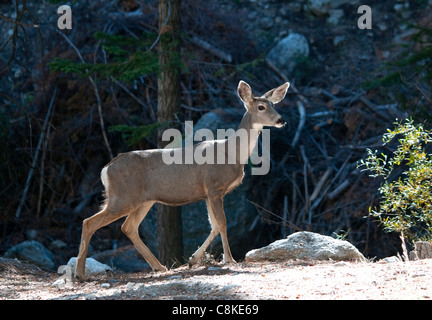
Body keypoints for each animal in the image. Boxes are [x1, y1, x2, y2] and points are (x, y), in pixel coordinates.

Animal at [74, 80, 288, 280]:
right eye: (261, 107)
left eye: (274, 105)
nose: (281, 120)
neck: (233, 153)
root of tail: (106, 169)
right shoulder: (214, 187)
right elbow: (222, 223)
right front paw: (230, 259)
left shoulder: (208, 193)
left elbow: (214, 225)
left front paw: (193, 260)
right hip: (123, 197)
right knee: (89, 222)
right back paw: (79, 274)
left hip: (143, 200)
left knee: (128, 227)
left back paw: (159, 267)